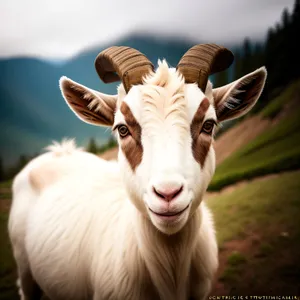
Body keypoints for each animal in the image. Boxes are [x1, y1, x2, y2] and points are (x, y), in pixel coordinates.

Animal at [7, 44, 268, 300]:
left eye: (208, 124)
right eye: (122, 129)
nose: (167, 194)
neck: (172, 269)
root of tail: (58, 152)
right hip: (25, 269)